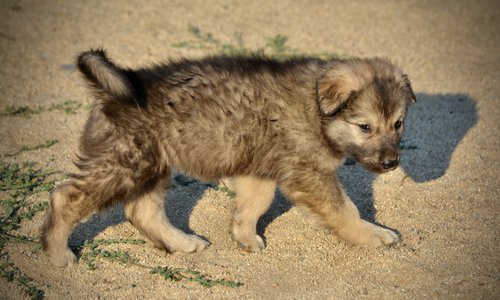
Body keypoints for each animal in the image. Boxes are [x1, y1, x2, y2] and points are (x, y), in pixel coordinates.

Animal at [39, 49, 416, 268]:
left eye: (398, 123)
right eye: (365, 127)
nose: (391, 163)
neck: (316, 106)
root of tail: (114, 89)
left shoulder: (259, 169)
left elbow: (255, 204)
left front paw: (243, 235)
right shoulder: (309, 172)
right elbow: (345, 210)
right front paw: (373, 234)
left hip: (152, 164)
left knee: (141, 210)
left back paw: (182, 242)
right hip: (123, 164)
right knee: (64, 198)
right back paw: (58, 255)